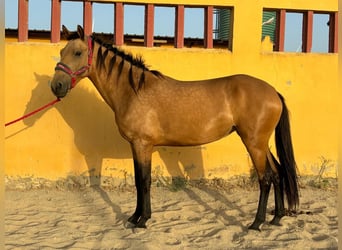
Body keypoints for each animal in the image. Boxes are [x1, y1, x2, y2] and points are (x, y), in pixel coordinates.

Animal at [49, 25, 298, 230]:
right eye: (61, 52)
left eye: (78, 53)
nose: (57, 85)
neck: (134, 91)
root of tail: (273, 92)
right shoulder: (136, 146)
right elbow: (139, 181)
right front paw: (134, 217)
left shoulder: (143, 144)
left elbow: (144, 181)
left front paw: (142, 220)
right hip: (261, 143)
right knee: (278, 173)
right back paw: (276, 218)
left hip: (253, 142)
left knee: (265, 178)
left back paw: (256, 223)